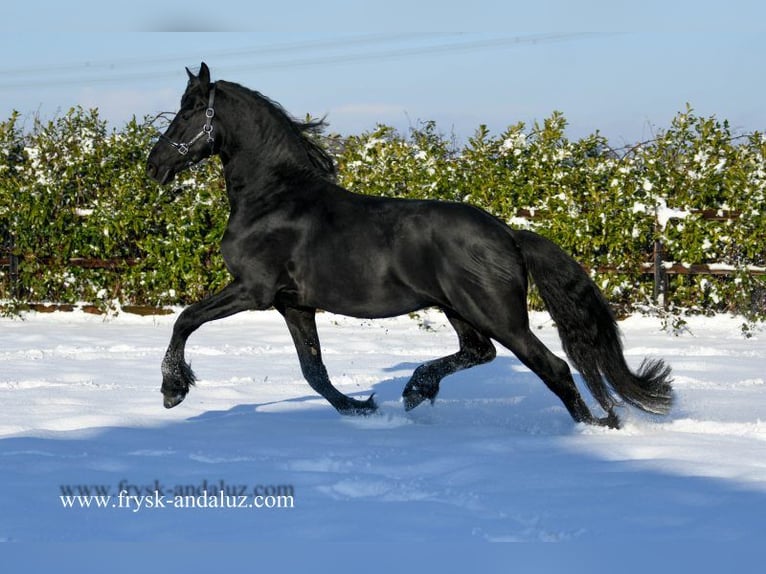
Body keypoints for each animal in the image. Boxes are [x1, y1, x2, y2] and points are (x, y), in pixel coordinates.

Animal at [146, 62, 673, 429]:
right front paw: (362, 406)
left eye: (189, 111)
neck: (274, 196)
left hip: (496, 314)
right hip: (458, 308)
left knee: (553, 367)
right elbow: (314, 370)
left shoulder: (252, 291)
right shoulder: (293, 305)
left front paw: (173, 390)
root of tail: (507, 233)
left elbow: (185, 319)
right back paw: (417, 388)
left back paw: (597, 426)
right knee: (479, 352)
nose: (155, 165)